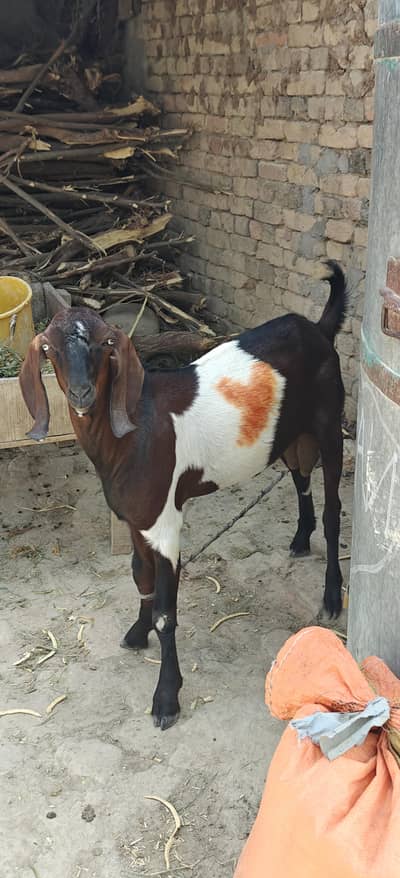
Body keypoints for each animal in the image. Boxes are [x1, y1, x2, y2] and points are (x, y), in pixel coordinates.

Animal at [20, 260, 347, 730]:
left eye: (105, 343)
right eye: (49, 347)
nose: (82, 393)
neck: (133, 430)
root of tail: (318, 329)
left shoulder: (165, 524)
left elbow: (166, 613)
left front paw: (166, 699)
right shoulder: (135, 519)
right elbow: (140, 577)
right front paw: (136, 634)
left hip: (329, 423)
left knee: (335, 507)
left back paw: (333, 596)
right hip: (290, 437)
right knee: (301, 479)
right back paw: (301, 540)